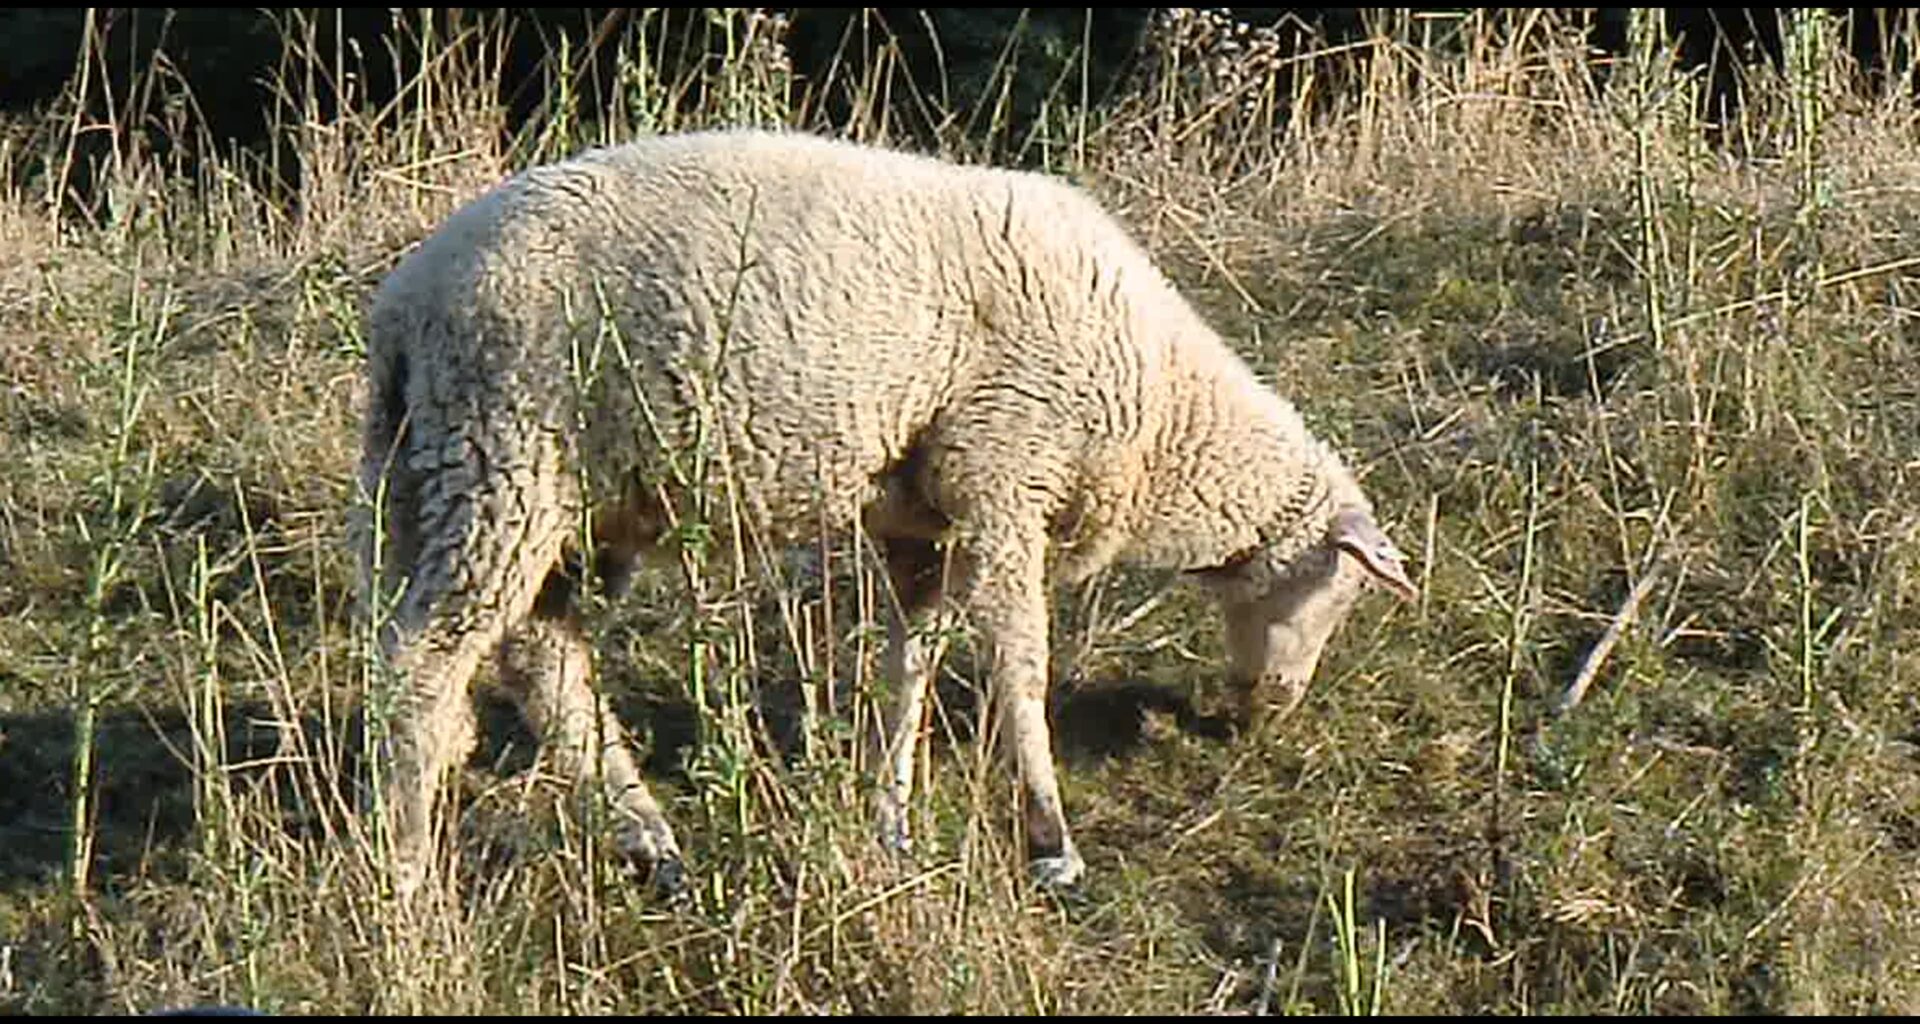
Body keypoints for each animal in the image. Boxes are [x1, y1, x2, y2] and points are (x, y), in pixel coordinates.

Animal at [356, 127, 1417, 900]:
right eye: (1337, 596)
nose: (1266, 713)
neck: (1165, 416)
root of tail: (403, 309)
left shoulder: (926, 523)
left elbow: (910, 667)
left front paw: (890, 817)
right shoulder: (1004, 479)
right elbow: (1019, 668)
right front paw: (1051, 839)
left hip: (534, 491)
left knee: (546, 661)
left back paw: (652, 842)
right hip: (502, 462)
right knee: (424, 670)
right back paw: (406, 881)